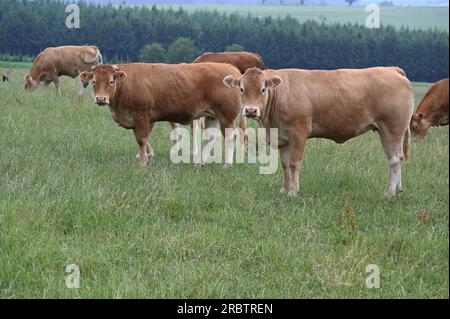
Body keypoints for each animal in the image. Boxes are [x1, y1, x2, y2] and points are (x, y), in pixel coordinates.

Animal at [79, 63, 244, 168]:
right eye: (94, 81)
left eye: (111, 81)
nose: (101, 99)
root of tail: (231, 69)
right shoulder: (134, 119)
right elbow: (141, 139)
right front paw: (146, 156)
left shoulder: (142, 115)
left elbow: (141, 139)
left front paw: (143, 162)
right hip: (212, 115)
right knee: (212, 138)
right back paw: (200, 162)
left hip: (226, 116)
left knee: (230, 137)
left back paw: (227, 164)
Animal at [223, 66, 414, 199]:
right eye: (242, 89)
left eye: (263, 89)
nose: (251, 110)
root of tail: (391, 69)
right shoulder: (282, 137)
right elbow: (284, 164)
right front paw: (284, 189)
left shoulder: (298, 133)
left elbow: (294, 163)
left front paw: (293, 192)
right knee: (398, 158)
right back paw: (398, 188)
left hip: (392, 128)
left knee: (394, 159)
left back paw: (388, 193)